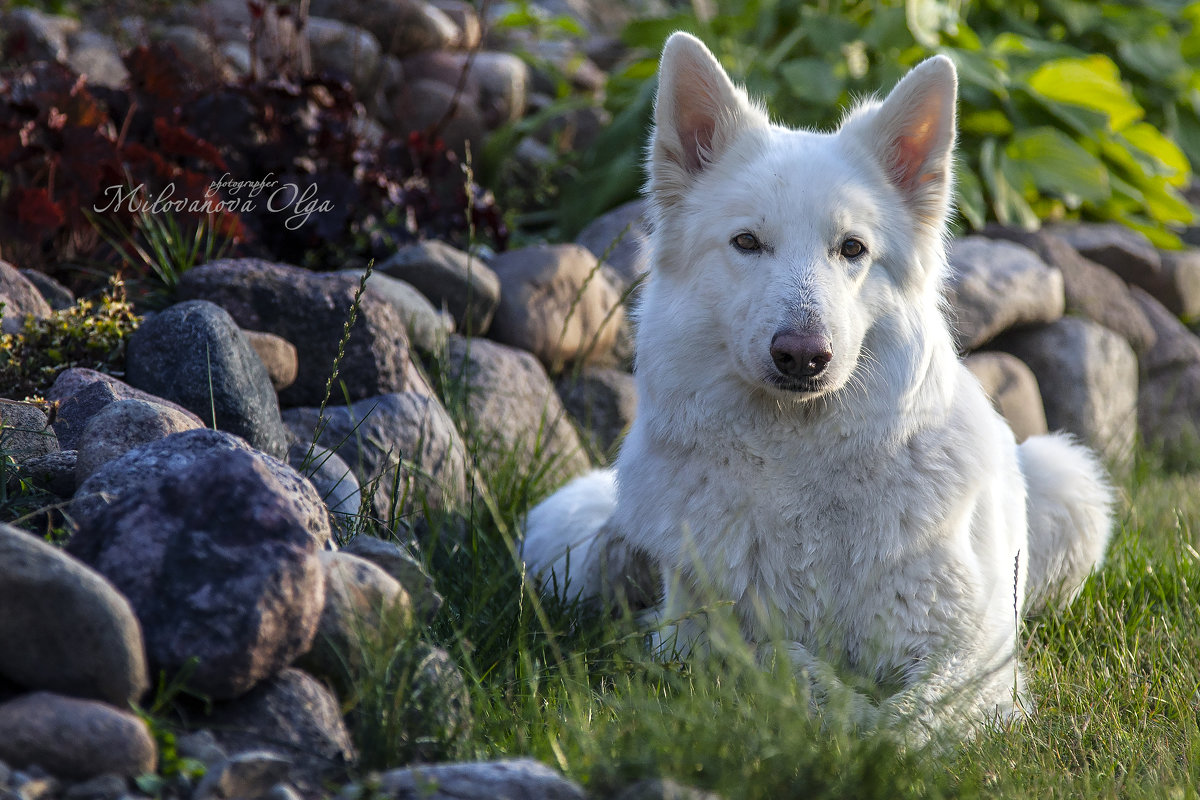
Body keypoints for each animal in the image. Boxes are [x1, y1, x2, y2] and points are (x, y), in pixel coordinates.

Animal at [520, 34, 1108, 738]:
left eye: (851, 249)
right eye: (747, 242)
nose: (802, 356)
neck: (800, 458)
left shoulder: (975, 655)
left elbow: (911, 720)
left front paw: (875, 735)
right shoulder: (697, 636)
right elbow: (780, 665)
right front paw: (840, 715)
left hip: (1069, 482)